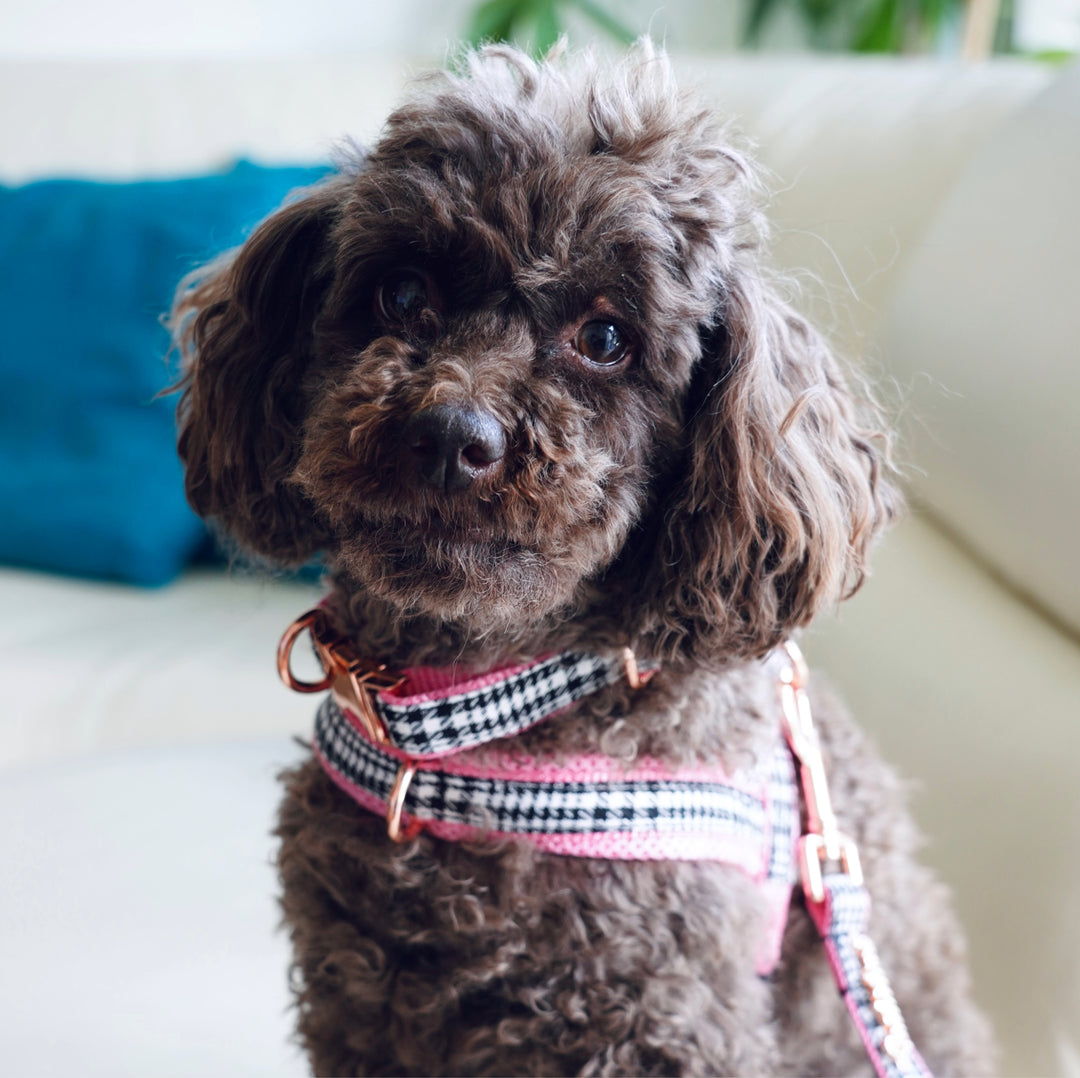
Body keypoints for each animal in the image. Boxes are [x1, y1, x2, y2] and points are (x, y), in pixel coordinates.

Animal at [170, 38, 993, 1075]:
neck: (470, 722)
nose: (450, 435)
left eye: (605, 337)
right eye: (403, 292)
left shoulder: (662, 1020)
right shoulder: (357, 1007)